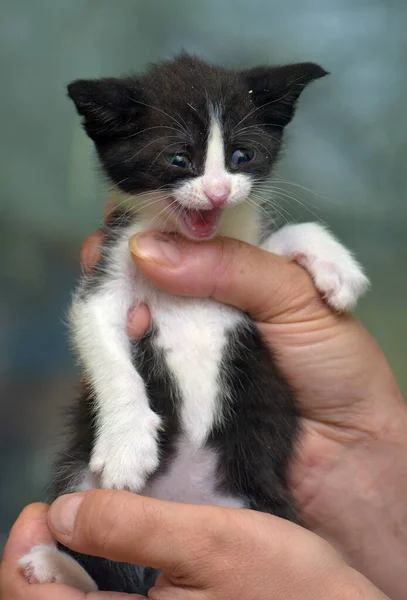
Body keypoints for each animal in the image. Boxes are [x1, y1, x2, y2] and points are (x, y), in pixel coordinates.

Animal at [19, 52, 370, 596]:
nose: (219, 190)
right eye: (179, 160)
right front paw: (127, 442)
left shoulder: (247, 256)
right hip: (78, 481)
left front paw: (336, 266)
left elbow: (282, 238)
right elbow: (102, 341)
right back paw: (60, 567)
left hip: (260, 499)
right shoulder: (108, 275)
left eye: (242, 156)